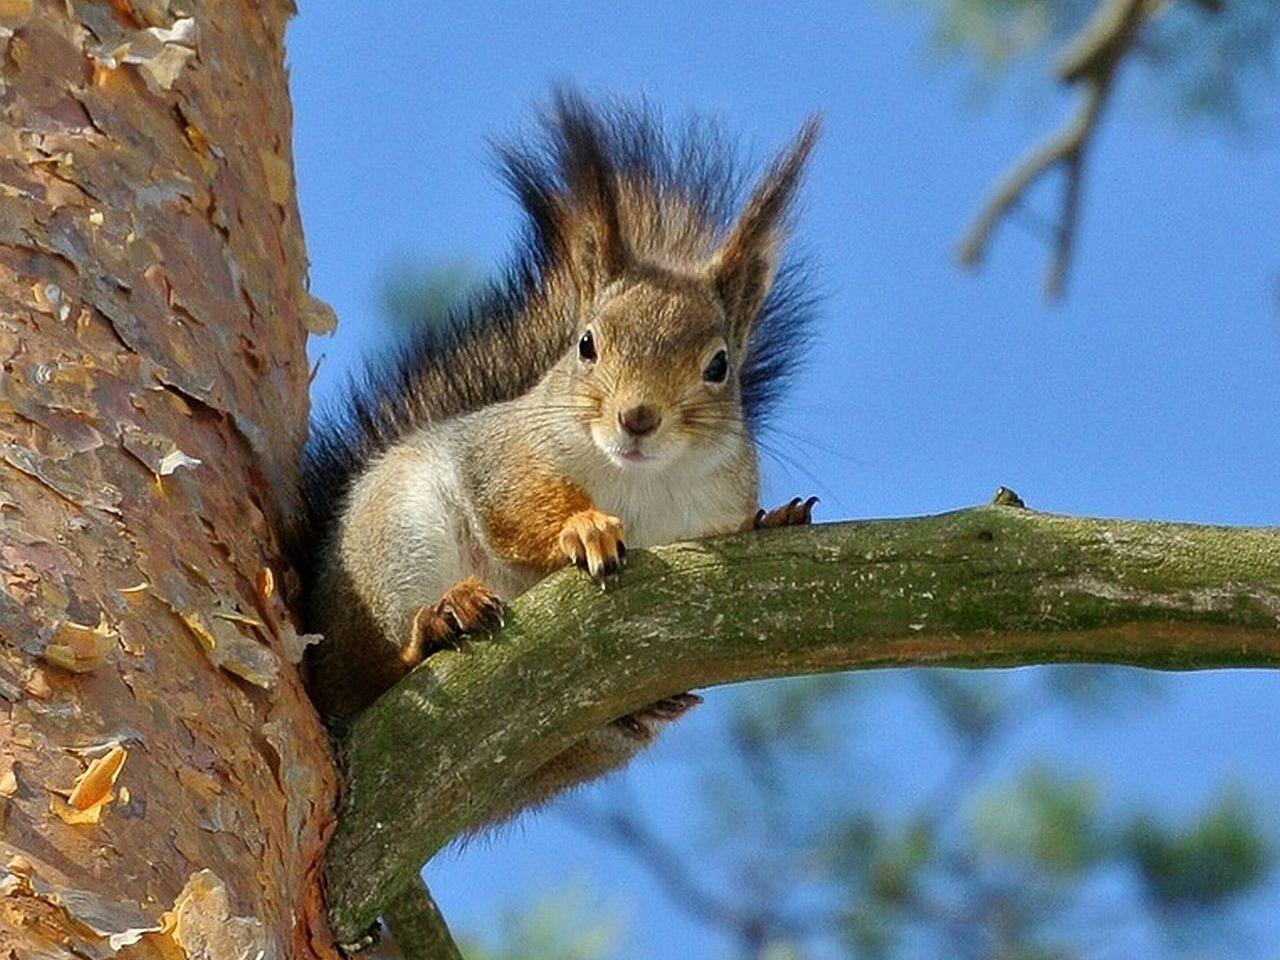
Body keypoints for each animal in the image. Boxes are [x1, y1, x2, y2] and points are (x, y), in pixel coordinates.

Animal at [296, 92, 819, 819]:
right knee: (378, 668)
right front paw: (584, 527)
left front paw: (776, 519)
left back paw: (649, 708)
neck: (639, 482)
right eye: (587, 344)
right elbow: (517, 508)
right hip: (394, 546)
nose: (637, 418)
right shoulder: (504, 454)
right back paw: (439, 623)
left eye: (719, 366)